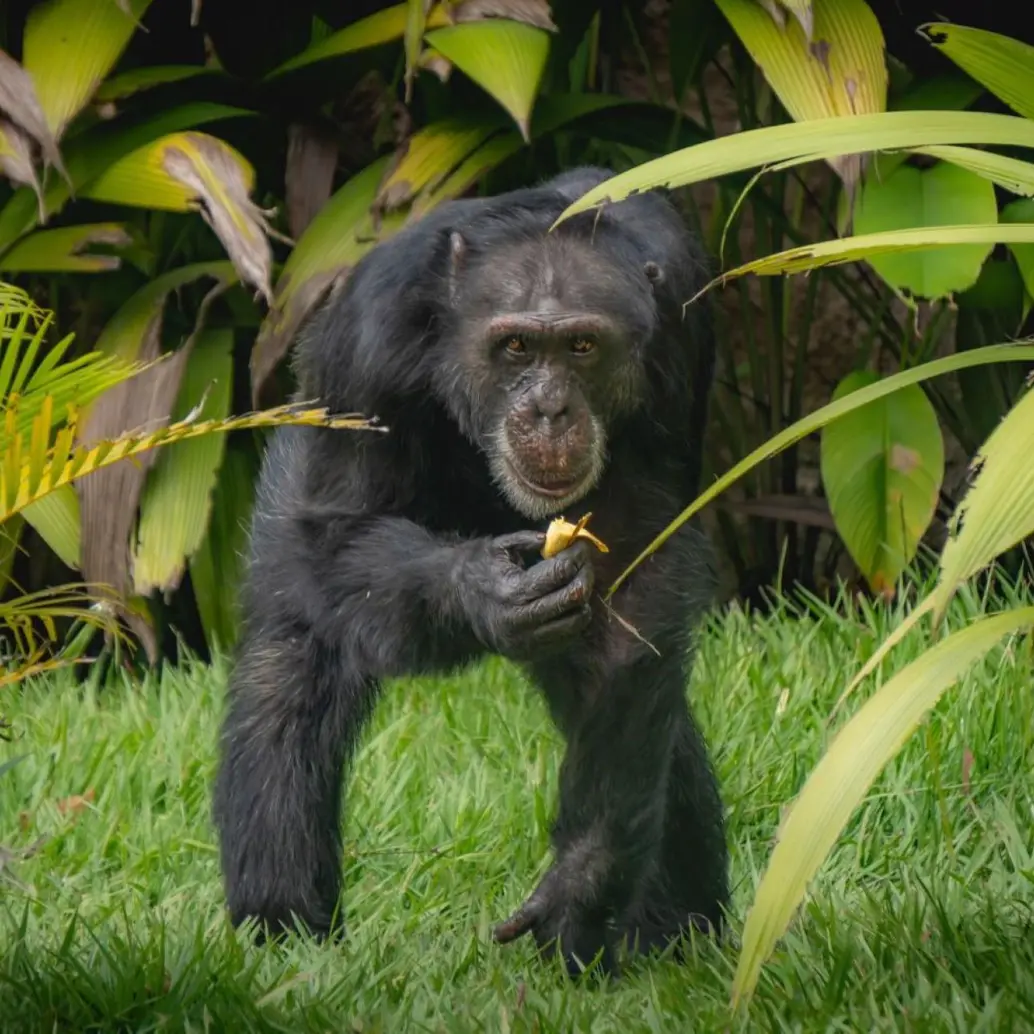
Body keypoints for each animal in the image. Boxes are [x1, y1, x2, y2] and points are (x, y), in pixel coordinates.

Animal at [209, 167, 727, 976]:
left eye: (581, 346)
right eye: (516, 346)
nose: (549, 408)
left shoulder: (678, 336)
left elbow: (638, 588)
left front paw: (585, 878)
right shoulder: (366, 337)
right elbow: (339, 528)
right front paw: (479, 592)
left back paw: (677, 935)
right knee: (290, 659)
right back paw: (283, 923)